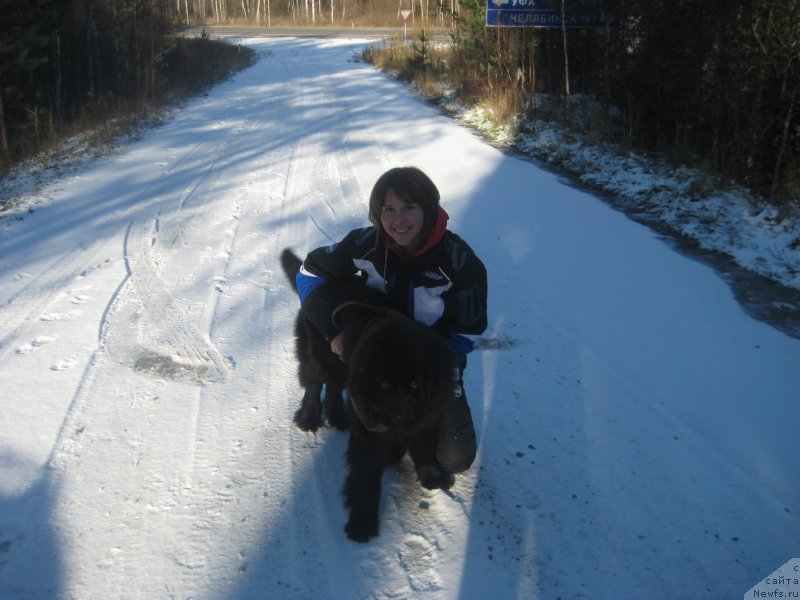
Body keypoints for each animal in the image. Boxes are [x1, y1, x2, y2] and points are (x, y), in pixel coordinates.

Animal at [280, 251, 456, 540]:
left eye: (415, 386)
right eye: (384, 385)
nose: (399, 417)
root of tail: (323, 284)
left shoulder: (424, 416)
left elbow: (423, 446)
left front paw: (432, 476)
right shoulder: (368, 429)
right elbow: (366, 476)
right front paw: (362, 524)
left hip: (340, 363)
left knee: (333, 386)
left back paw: (338, 417)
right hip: (320, 355)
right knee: (314, 384)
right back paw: (309, 418)